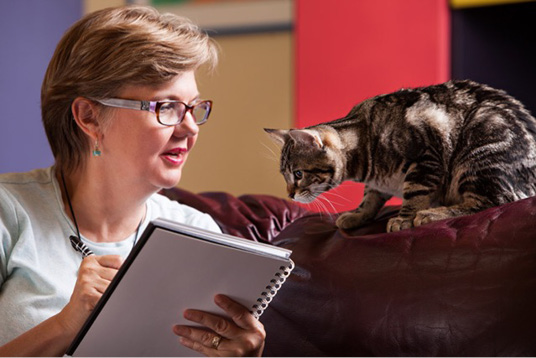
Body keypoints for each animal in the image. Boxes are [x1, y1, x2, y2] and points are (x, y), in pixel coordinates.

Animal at [268, 79, 536, 232]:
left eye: (298, 174)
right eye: (284, 175)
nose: (290, 195)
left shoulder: (426, 156)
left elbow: (415, 193)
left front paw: (404, 218)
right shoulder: (377, 183)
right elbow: (369, 199)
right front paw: (357, 215)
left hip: (479, 151)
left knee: (491, 201)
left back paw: (432, 214)